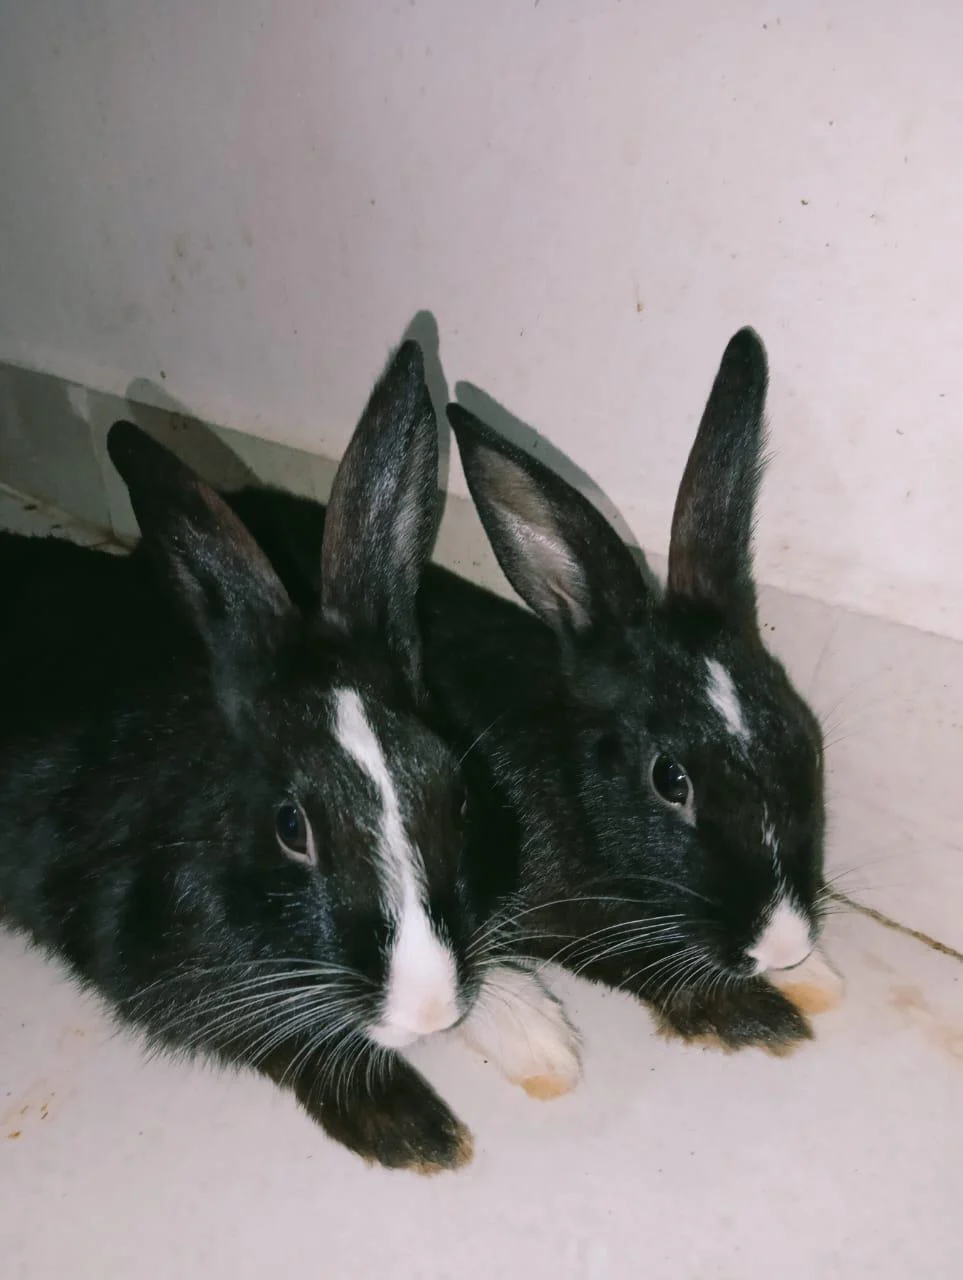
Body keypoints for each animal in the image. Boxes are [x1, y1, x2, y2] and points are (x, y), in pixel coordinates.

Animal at [0, 341, 580, 1174]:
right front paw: (415, 1131)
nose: (429, 1011)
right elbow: (274, 1037)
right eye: (290, 828)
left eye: (459, 794)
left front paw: (536, 1033)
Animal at [218, 328, 838, 1057]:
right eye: (669, 779)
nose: (784, 944)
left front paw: (814, 977)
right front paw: (756, 1016)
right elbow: (617, 958)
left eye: (806, 740)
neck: (572, 789)